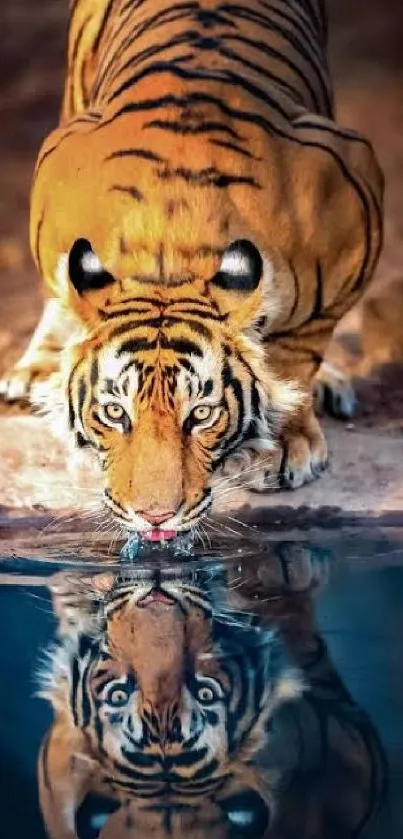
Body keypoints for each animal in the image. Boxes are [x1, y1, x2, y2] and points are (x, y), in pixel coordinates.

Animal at [0, 0, 386, 540]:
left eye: (201, 414)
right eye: (115, 412)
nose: (154, 516)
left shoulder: (355, 203)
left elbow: (296, 353)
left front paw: (280, 443)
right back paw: (36, 371)